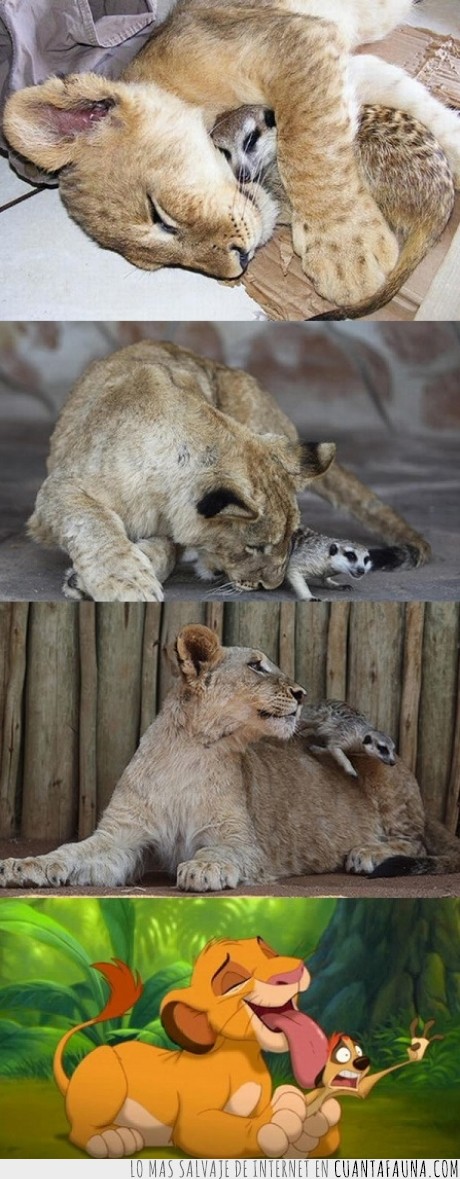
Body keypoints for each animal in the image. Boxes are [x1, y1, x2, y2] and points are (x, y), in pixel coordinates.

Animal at [1, 624, 459, 891]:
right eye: (257, 665)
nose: (302, 694)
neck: (190, 751)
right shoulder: (122, 835)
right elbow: (69, 851)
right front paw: (24, 865)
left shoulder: (242, 841)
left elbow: (221, 853)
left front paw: (203, 870)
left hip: (382, 770)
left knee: (415, 842)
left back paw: (368, 852)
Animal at [3, 0, 460, 309]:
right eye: (163, 265)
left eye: (159, 215)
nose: (238, 264)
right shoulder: (344, 63)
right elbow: (420, 106)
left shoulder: (294, 41)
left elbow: (310, 138)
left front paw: (347, 252)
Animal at [27, 340, 430, 602]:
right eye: (255, 547)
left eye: (291, 540)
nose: (272, 586)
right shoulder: (57, 490)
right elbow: (92, 522)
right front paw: (125, 582)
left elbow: (168, 549)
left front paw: (98, 577)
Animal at [52, 941, 340, 1159]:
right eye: (234, 980)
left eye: (269, 951)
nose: (294, 972)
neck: (241, 1057)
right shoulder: (195, 1120)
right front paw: (278, 1120)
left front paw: (315, 1126)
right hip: (105, 1065)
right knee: (81, 1129)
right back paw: (109, 1137)